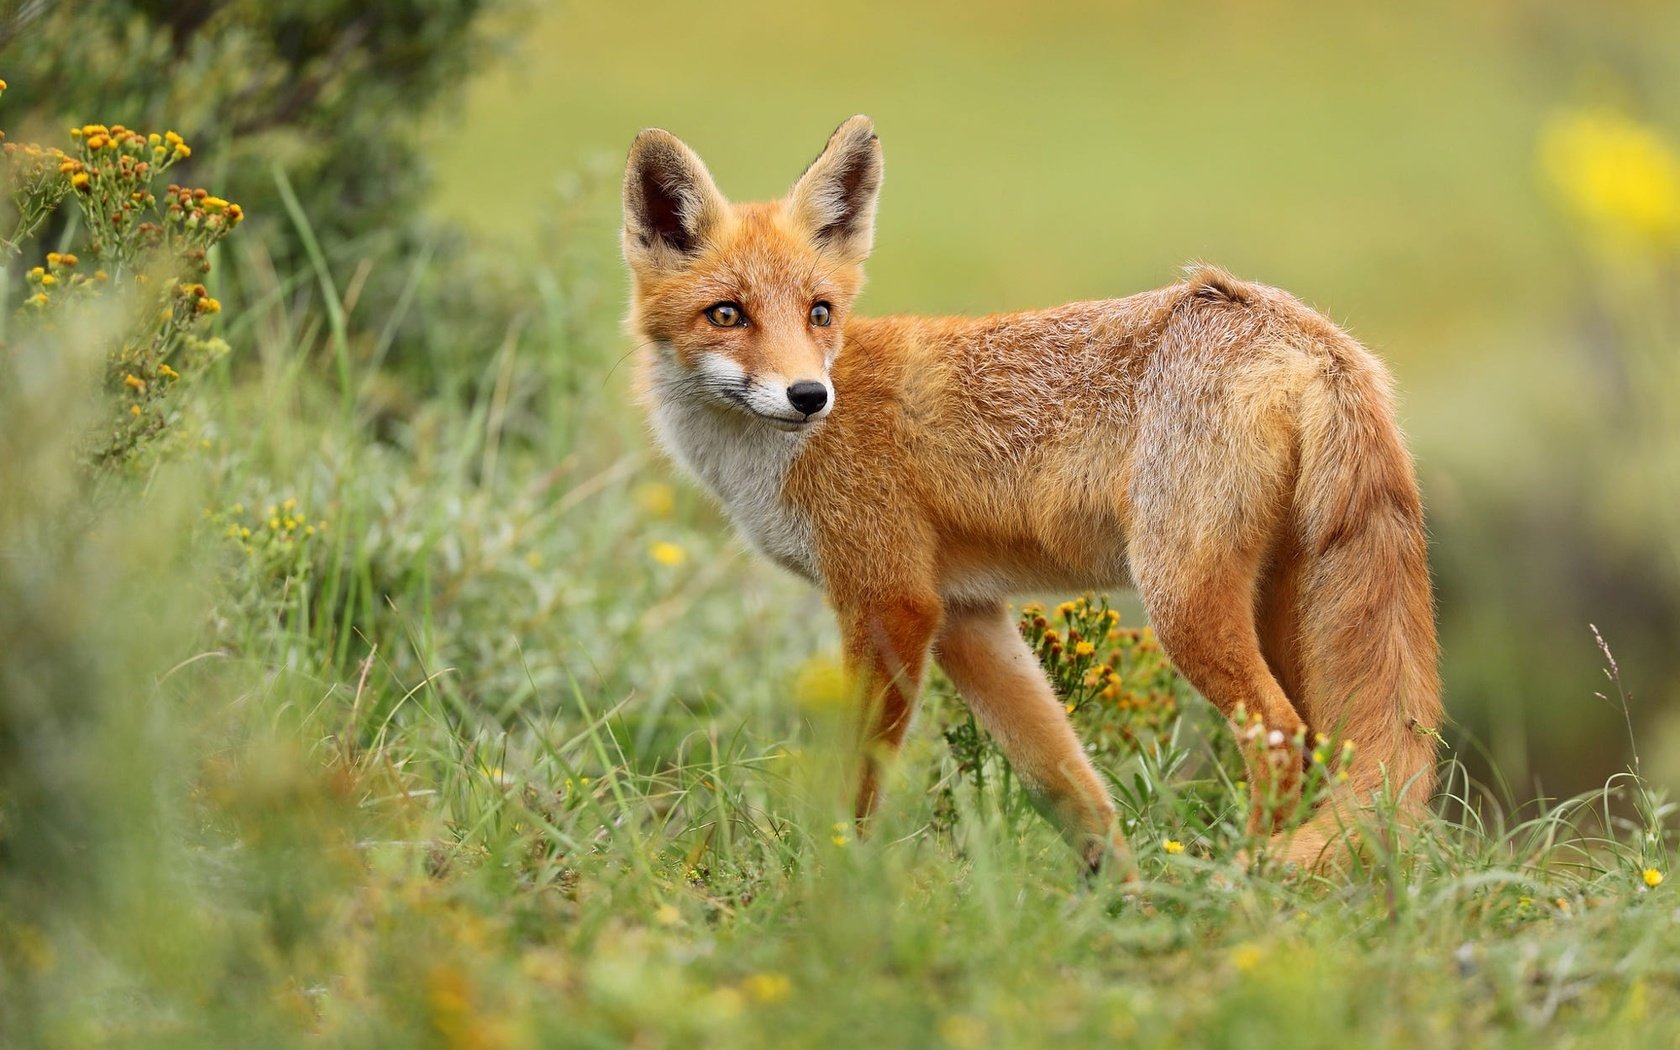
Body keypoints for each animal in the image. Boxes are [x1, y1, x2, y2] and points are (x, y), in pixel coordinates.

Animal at [621, 114, 1444, 866]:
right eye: (727, 314)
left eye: (819, 313)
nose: (807, 396)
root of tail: (1309, 332)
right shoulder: (964, 614)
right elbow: (1065, 783)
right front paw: (1119, 893)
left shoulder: (889, 600)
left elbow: (856, 782)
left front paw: (828, 879)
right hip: (1283, 605)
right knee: (1322, 749)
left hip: (1181, 600)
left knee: (1278, 737)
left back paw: (1248, 878)